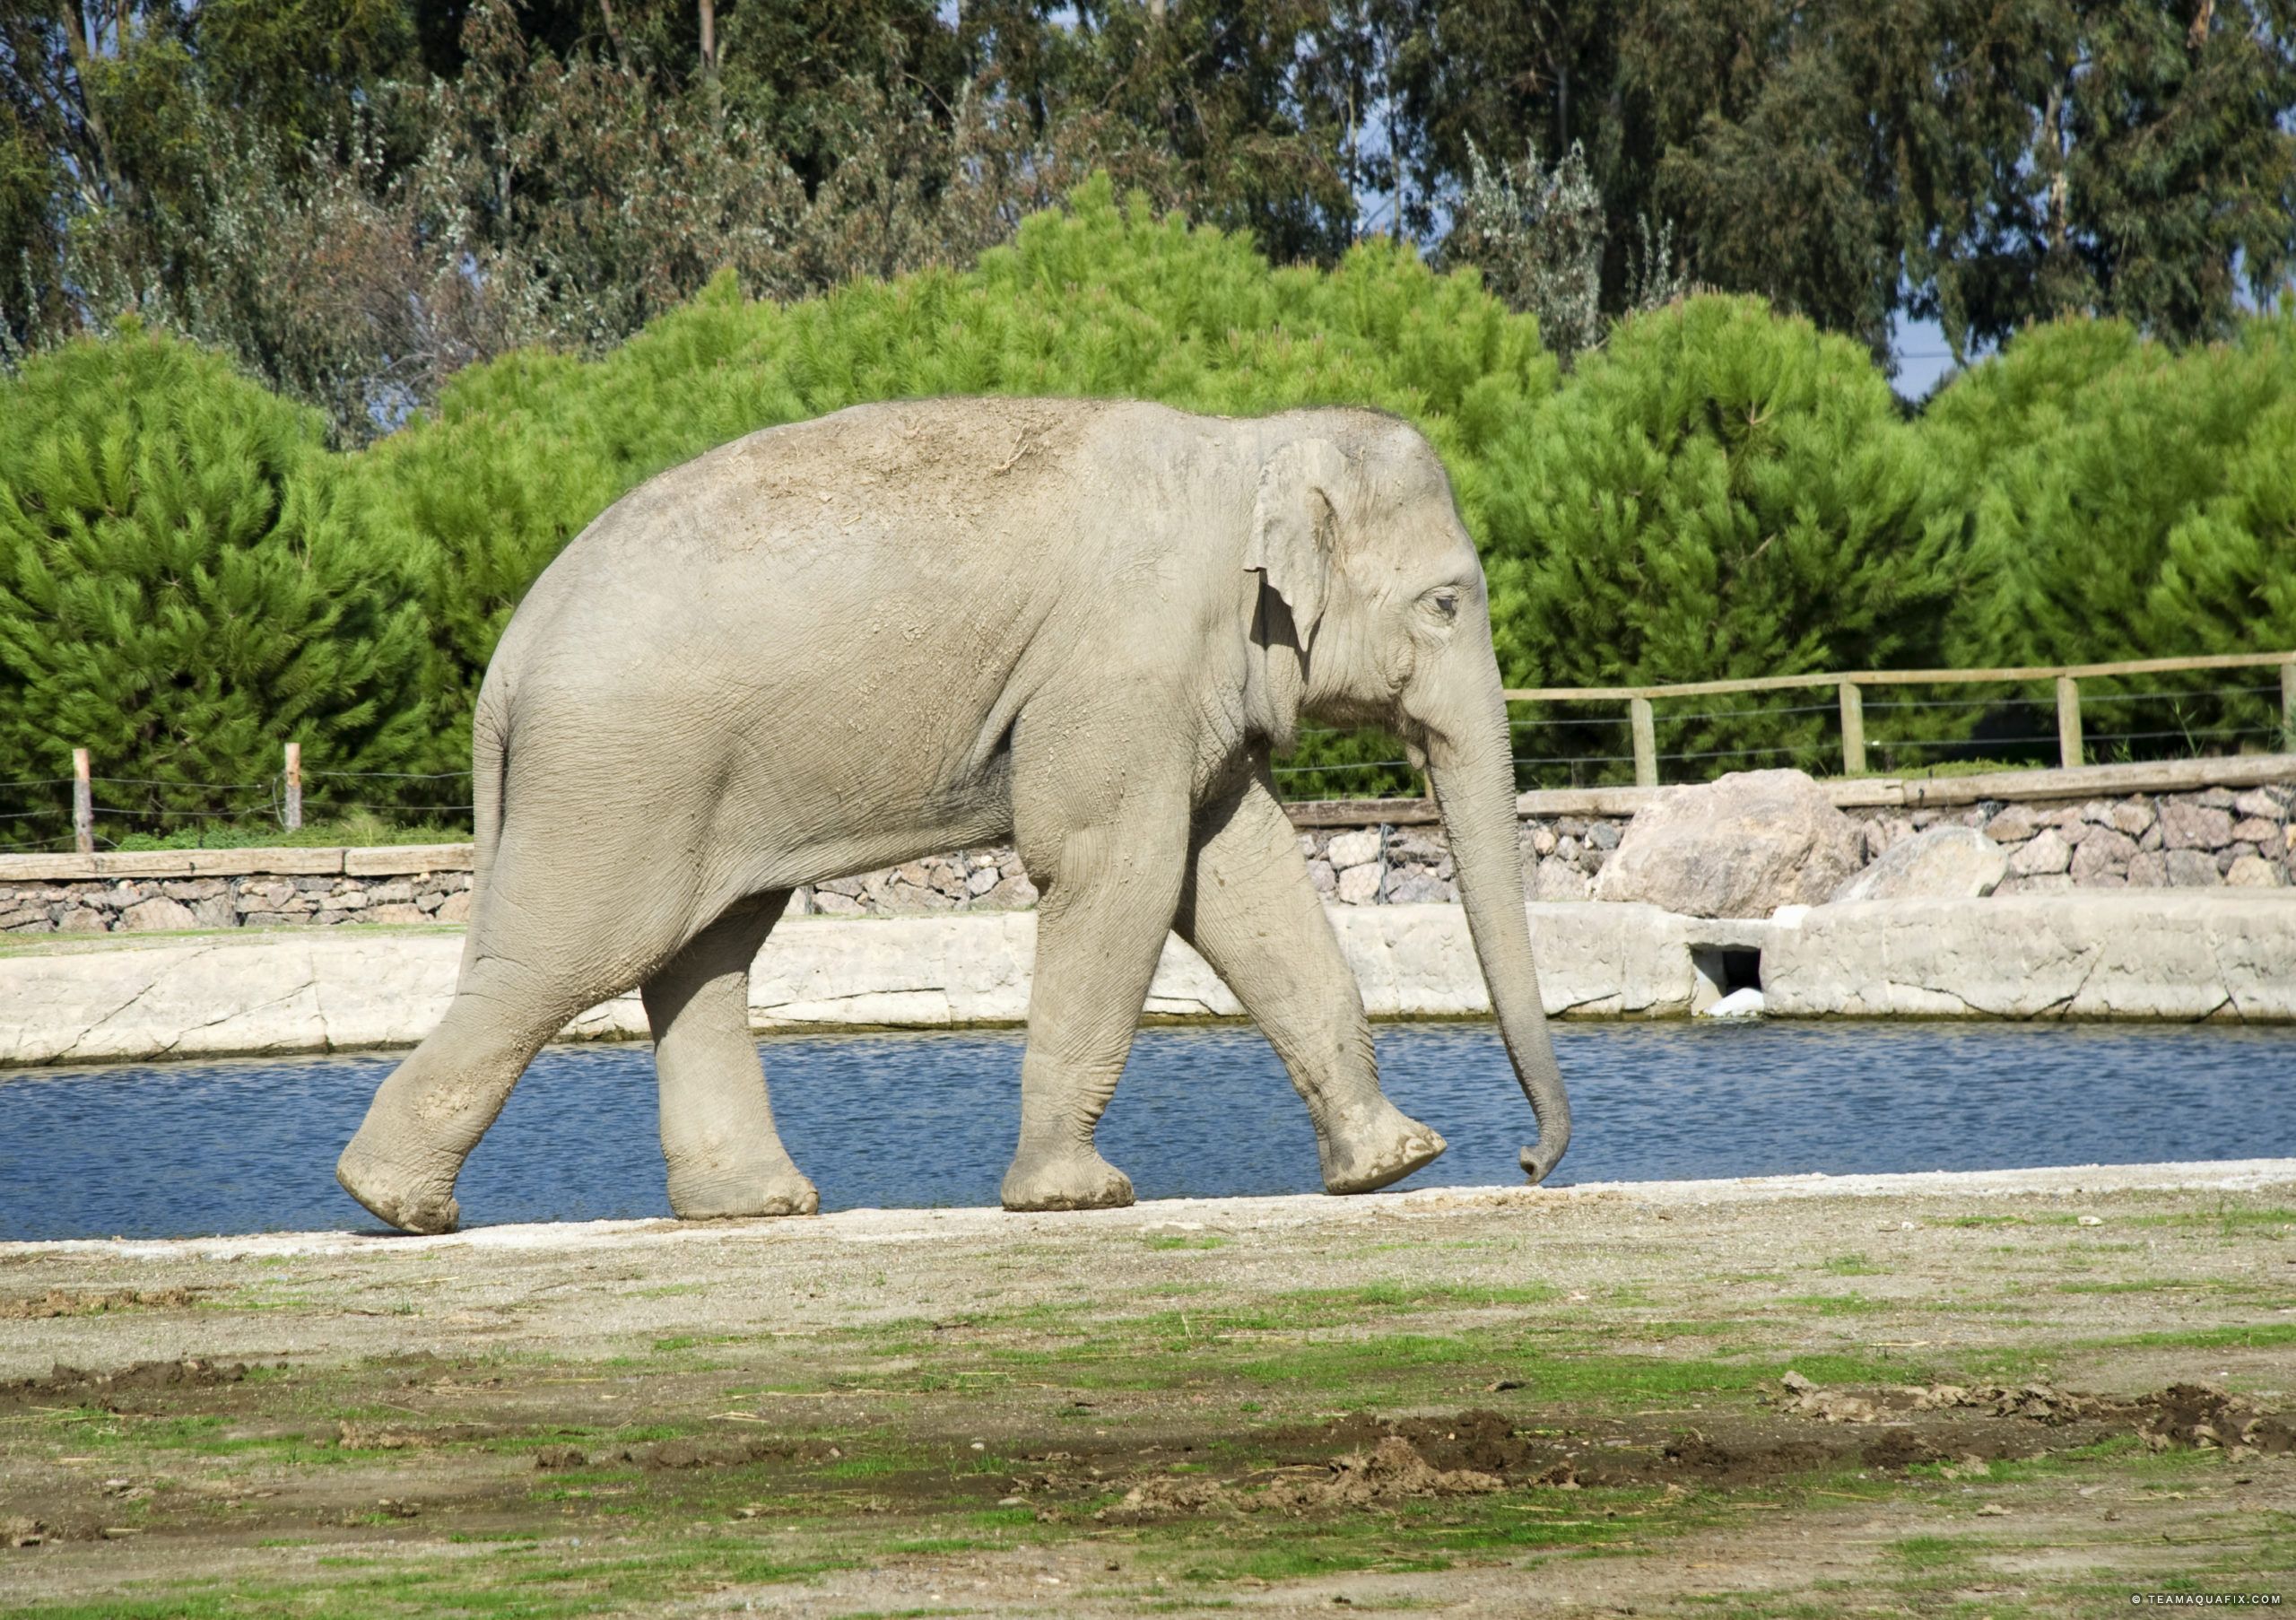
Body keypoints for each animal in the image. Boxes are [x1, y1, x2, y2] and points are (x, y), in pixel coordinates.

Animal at [333, 397, 1570, 1232]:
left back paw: (757, 1207)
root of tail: (509, 653)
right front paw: (1076, 1199)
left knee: (700, 953)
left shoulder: (1185, 690)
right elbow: (1115, 869)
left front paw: (1393, 1164)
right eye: (1445, 603)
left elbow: (1237, 877)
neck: (1246, 446)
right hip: (622, 770)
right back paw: (396, 1206)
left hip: (696, 776)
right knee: (575, 955)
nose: (1525, 1161)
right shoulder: (1119, 668)